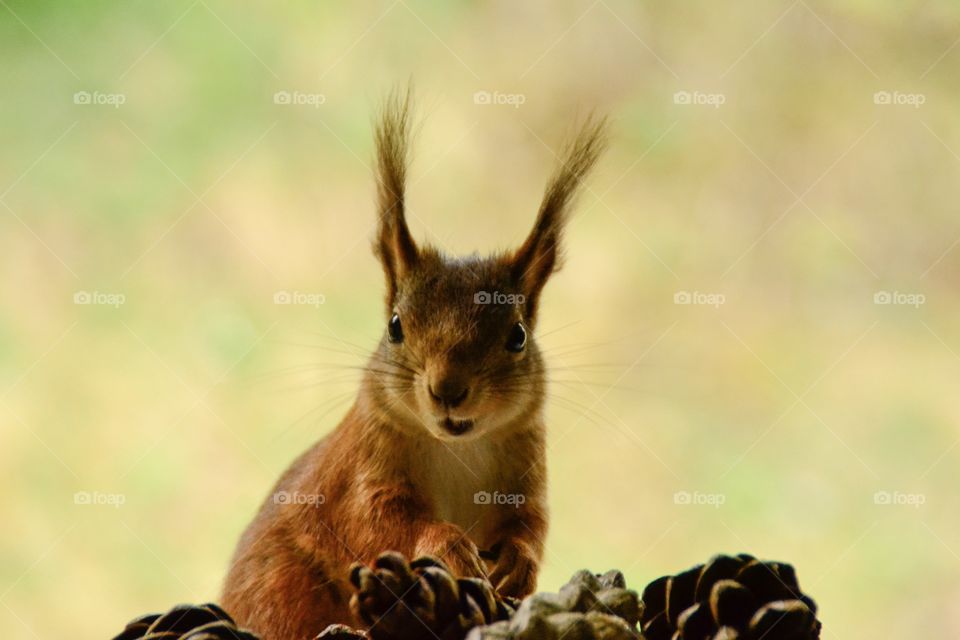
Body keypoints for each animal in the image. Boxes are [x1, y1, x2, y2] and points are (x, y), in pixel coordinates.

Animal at [221, 91, 604, 640]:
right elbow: (383, 521)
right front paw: (449, 544)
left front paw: (517, 561)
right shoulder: (360, 471)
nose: (448, 390)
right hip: (280, 588)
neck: (458, 448)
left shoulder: (527, 471)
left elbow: (531, 525)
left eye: (517, 335)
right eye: (396, 326)